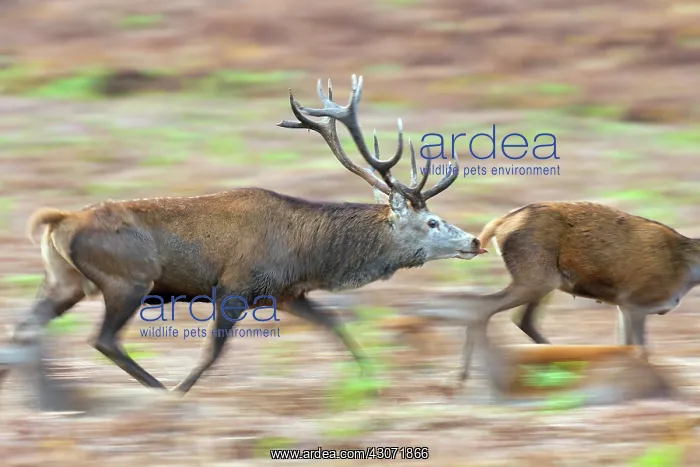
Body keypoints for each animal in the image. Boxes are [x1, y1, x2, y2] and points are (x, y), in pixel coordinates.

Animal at [0, 75, 484, 395]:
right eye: (432, 222)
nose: (475, 241)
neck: (309, 256)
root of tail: (60, 220)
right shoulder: (235, 285)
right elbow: (213, 351)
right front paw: (183, 390)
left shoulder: (285, 293)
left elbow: (335, 324)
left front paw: (371, 375)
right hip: (128, 279)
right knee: (102, 339)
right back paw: (160, 389)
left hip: (63, 280)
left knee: (24, 327)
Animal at [455, 201, 700, 386]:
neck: (686, 273)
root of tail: (499, 223)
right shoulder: (635, 302)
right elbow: (641, 350)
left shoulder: (623, 305)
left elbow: (625, 346)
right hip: (536, 278)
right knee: (486, 308)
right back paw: (469, 375)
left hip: (542, 281)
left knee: (522, 319)